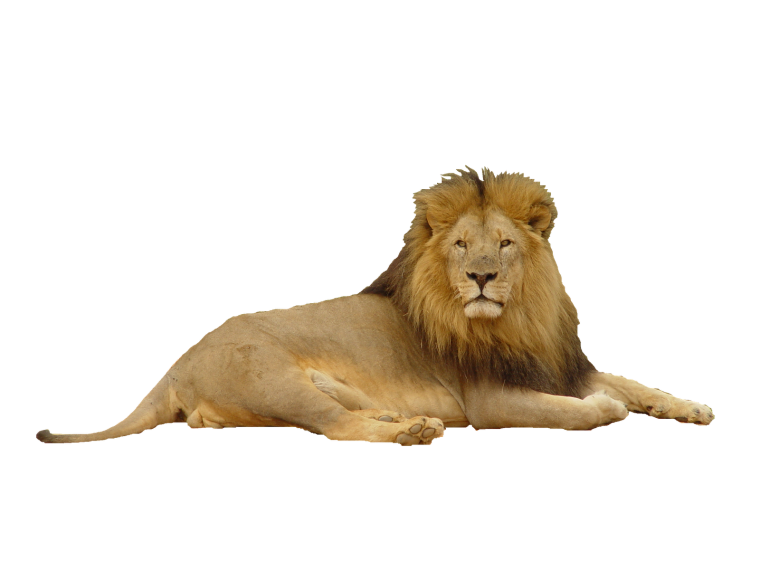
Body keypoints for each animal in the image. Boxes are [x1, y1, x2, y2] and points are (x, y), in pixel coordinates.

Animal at [36, 166, 714, 446]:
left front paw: (691, 407)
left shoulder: (560, 365)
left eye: (504, 244)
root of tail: (175, 363)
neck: (521, 316)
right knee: (337, 429)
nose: (481, 277)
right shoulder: (490, 399)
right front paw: (601, 410)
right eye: (461, 245)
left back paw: (401, 418)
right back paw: (412, 431)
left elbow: (634, 382)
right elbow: (571, 411)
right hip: (275, 380)